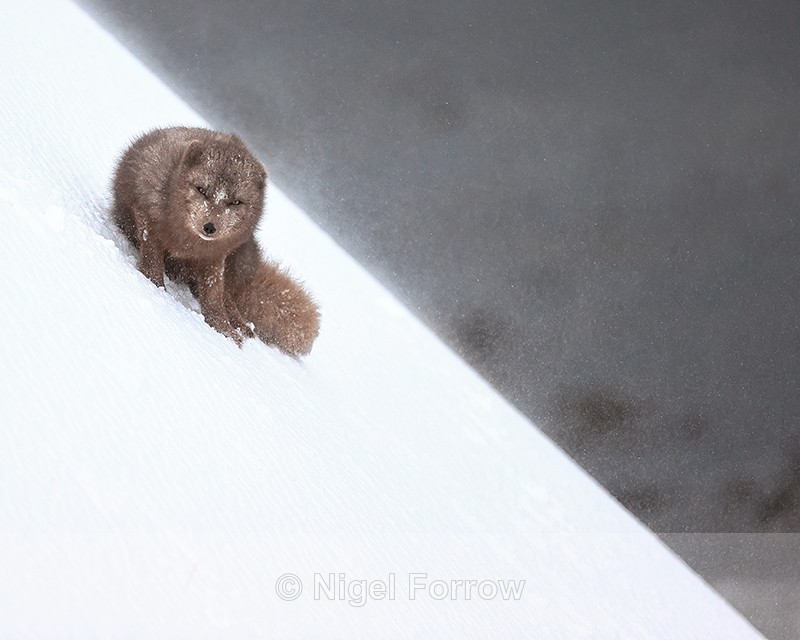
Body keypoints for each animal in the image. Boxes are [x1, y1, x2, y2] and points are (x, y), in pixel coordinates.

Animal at [112, 126, 320, 356]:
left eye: (235, 202)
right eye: (201, 190)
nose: (209, 227)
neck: (187, 243)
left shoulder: (215, 257)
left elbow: (214, 296)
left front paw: (223, 329)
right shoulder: (146, 213)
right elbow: (152, 256)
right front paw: (153, 284)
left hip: (242, 257)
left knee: (228, 296)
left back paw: (242, 325)